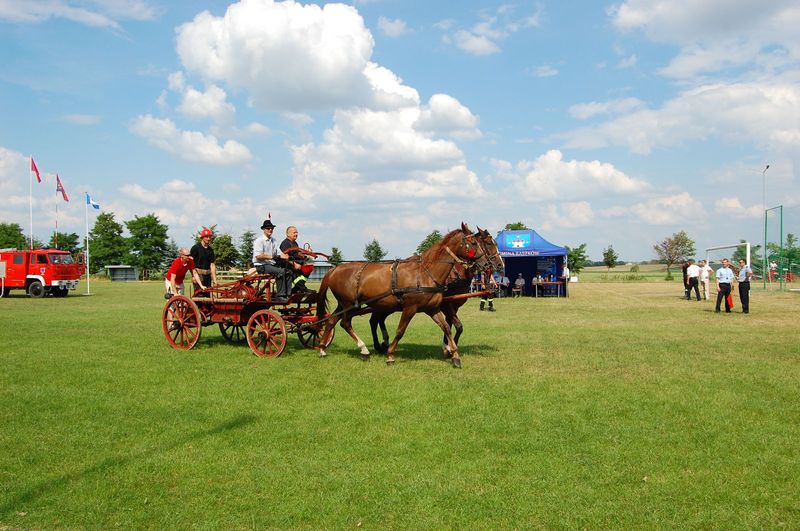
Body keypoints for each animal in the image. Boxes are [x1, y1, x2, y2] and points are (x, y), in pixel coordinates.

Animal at [318, 222, 490, 368]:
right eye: (474, 243)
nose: (488, 264)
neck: (425, 274)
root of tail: (334, 269)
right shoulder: (410, 308)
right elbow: (400, 330)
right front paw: (390, 356)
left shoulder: (433, 309)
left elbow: (447, 328)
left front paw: (454, 355)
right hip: (349, 304)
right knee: (345, 323)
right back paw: (363, 349)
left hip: (345, 304)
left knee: (332, 320)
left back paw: (322, 348)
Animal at [366, 228, 504, 358]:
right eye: (488, 243)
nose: (500, 265)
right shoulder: (445, 305)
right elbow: (455, 325)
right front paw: (448, 349)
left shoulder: (452, 306)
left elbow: (453, 325)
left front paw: (449, 347)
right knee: (374, 320)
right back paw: (378, 345)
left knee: (378, 319)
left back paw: (384, 343)